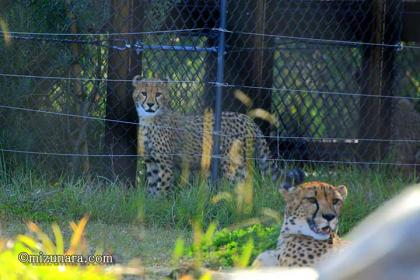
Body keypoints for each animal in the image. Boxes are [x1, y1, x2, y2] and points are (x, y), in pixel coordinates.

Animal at [132, 75, 302, 196]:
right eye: (144, 93)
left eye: (158, 94)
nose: (150, 104)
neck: (149, 119)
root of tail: (247, 119)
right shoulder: (152, 162)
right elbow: (152, 188)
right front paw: (150, 204)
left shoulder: (165, 164)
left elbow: (162, 187)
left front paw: (160, 204)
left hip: (232, 162)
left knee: (243, 183)